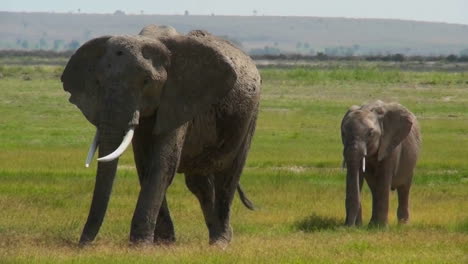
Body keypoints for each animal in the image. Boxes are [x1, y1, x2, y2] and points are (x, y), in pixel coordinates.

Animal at [60, 25, 262, 248]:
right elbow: (145, 164)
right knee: (199, 184)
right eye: (98, 82)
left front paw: (141, 246)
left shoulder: (180, 96)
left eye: (146, 82)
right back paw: (214, 236)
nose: (82, 244)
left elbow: (162, 164)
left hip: (249, 116)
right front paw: (163, 243)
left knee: (227, 177)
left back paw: (221, 242)